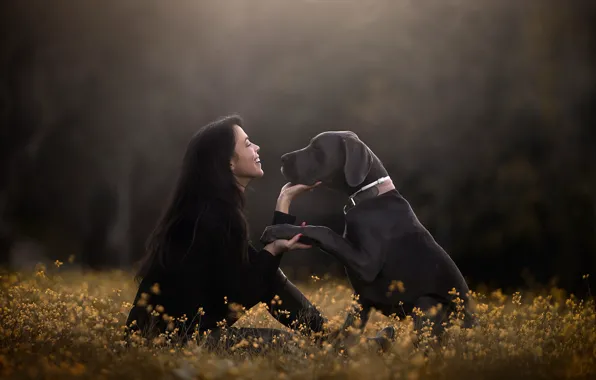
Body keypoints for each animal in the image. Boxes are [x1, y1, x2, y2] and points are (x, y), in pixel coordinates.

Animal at [260, 131, 474, 338]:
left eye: (317, 149)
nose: (283, 159)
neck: (368, 195)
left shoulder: (366, 265)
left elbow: (323, 231)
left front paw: (276, 230)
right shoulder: (362, 299)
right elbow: (349, 332)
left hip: (428, 303)